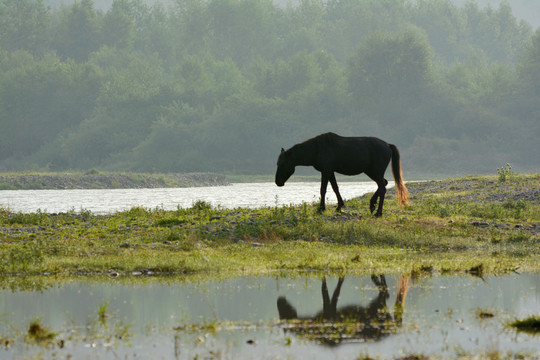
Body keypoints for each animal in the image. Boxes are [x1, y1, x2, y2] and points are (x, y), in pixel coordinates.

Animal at [276, 132, 408, 217]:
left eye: (282, 164)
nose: (278, 182)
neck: (316, 149)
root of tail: (388, 145)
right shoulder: (330, 171)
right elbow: (335, 188)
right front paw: (339, 206)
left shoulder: (326, 171)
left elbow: (323, 189)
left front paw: (321, 208)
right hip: (372, 172)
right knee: (383, 185)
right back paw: (373, 206)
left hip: (375, 171)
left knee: (382, 187)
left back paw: (377, 211)